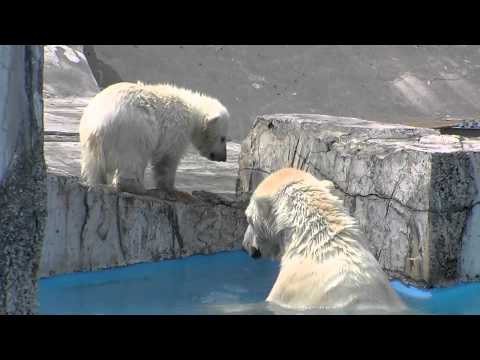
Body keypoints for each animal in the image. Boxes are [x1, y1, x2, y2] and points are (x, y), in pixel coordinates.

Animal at [79, 82, 229, 194]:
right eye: (223, 138)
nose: (223, 157)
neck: (192, 109)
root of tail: (98, 125)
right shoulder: (176, 127)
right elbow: (167, 158)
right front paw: (172, 188)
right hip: (133, 131)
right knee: (134, 157)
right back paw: (136, 188)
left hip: (89, 141)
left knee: (94, 166)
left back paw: (100, 183)